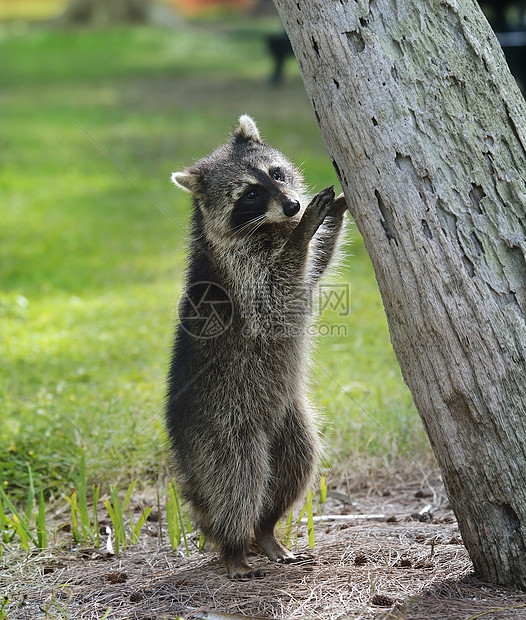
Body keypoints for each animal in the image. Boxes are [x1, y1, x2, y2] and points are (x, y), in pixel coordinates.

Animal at [165, 114, 346, 580]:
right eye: (250, 193)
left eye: (276, 174)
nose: (293, 207)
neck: (268, 226)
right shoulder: (241, 271)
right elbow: (276, 293)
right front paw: (305, 232)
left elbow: (314, 270)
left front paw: (335, 210)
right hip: (223, 427)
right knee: (237, 481)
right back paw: (234, 546)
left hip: (289, 424)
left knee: (295, 467)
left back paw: (266, 530)